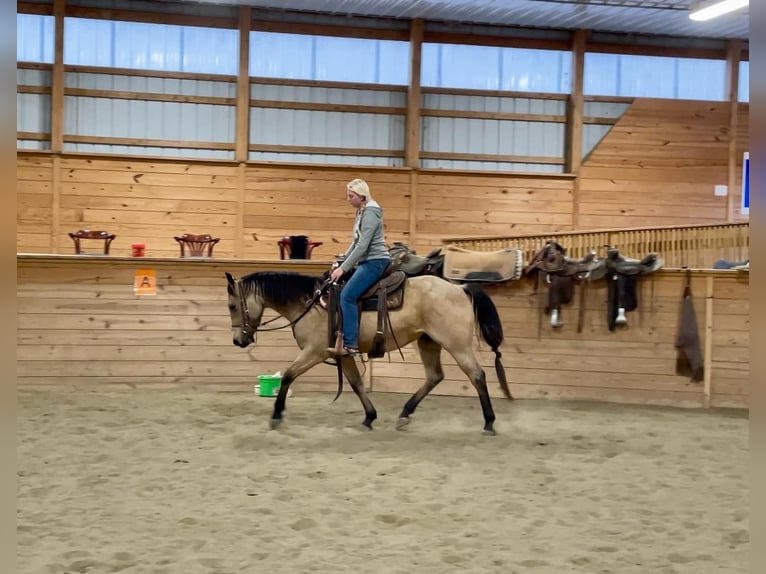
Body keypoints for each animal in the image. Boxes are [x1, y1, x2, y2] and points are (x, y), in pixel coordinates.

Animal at [228, 272, 516, 436]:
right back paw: (404, 415)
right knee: (435, 376)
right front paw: (369, 417)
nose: (238, 340)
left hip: (457, 345)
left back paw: (489, 422)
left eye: (232, 305)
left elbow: (288, 376)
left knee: (477, 375)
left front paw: (276, 416)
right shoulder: (343, 354)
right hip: (428, 342)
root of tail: (460, 288)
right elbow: (356, 384)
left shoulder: (314, 352)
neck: (310, 303)